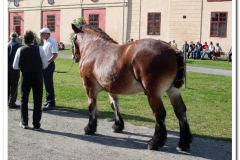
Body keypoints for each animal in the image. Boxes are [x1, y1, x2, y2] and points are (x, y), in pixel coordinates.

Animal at [71, 23, 191, 151]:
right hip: (173, 91)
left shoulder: (89, 86)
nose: (74, 56)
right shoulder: (111, 88)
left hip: (153, 93)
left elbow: (92, 107)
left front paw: (90, 128)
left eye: (73, 39)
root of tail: (171, 48)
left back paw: (154, 142)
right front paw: (118, 126)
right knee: (180, 111)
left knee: (160, 113)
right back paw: (183, 143)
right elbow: (115, 106)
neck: (95, 48)